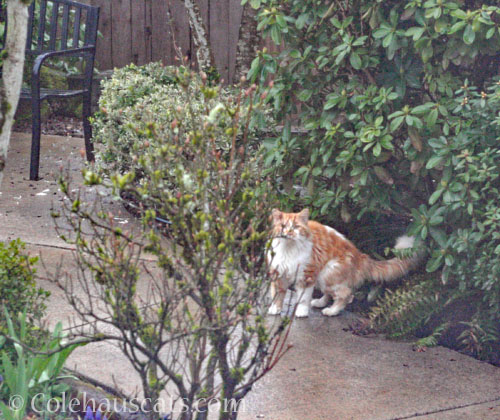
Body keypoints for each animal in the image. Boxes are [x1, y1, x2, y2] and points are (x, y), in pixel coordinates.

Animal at [268, 208, 420, 316]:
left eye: (296, 227)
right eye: (283, 226)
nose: (288, 232)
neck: (288, 249)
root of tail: (360, 255)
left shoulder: (306, 276)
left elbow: (303, 298)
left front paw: (301, 312)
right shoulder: (278, 274)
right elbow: (277, 295)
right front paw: (275, 309)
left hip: (327, 273)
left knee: (346, 295)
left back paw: (331, 311)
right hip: (324, 278)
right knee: (331, 294)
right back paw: (320, 303)